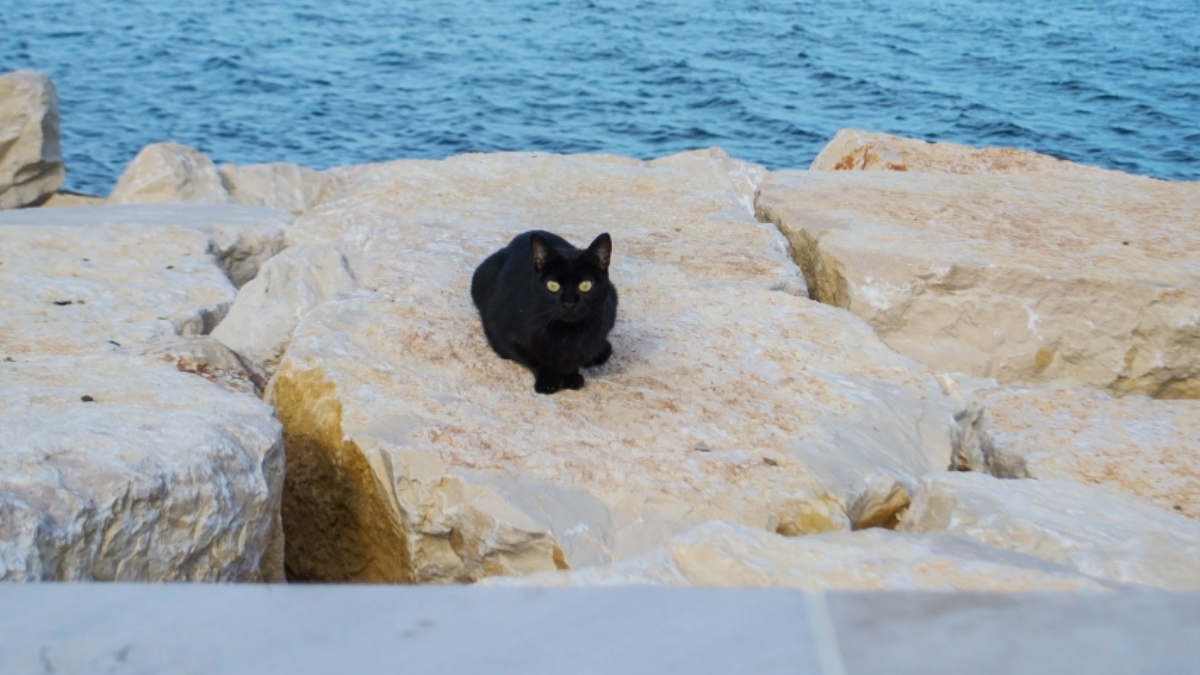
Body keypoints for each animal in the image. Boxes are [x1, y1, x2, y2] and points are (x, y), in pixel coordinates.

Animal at [468, 229, 619, 393]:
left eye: (585, 285)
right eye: (553, 285)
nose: (569, 304)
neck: (567, 334)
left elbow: (582, 357)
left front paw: (571, 376)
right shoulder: (501, 337)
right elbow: (534, 359)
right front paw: (548, 380)